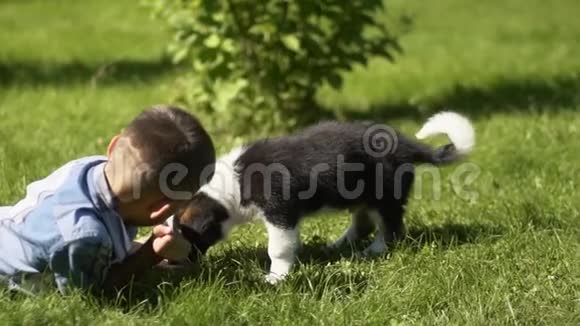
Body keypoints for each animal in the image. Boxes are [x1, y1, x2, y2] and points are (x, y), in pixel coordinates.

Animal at [178, 112, 476, 282]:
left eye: (190, 237)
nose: (183, 265)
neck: (233, 184)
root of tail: (407, 145)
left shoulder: (281, 212)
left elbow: (279, 248)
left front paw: (276, 277)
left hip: (384, 194)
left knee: (390, 227)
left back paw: (374, 250)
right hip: (361, 195)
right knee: (364, 224)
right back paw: (339, 245)